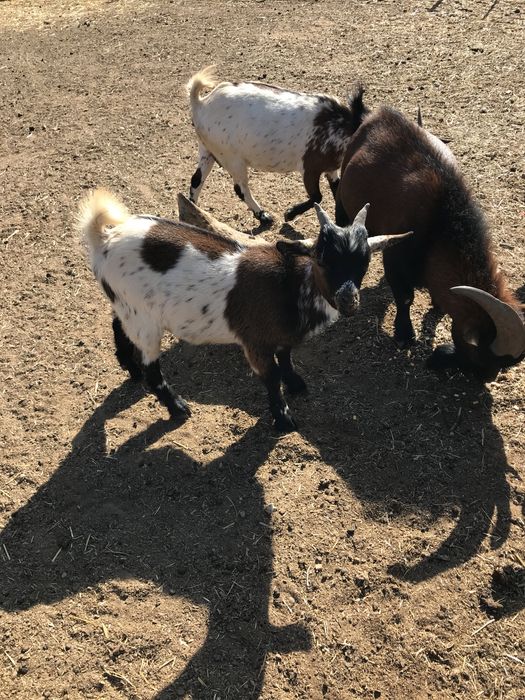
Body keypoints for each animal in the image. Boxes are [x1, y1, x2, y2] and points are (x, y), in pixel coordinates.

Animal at [78, 190, 411, 432]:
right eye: (321, 258)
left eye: (364, 262)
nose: (348, 300)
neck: (290, 285)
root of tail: (105, 238)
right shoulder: (256, 343)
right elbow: (271, 377)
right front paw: (284, 420)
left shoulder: (282, 337)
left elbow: (286, 358)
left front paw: (296, 384)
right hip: (145, 321)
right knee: (152, 368)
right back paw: (177, 407)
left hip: (128, 306)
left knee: (118, 327)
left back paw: (131, 369)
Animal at [187, 66, 368, 226]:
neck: (338, 125)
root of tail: (201, 104)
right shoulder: (310, 169)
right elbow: (317, 197)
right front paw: (289, 214)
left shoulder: (331, 169)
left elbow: (337, 190)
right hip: (231, 159)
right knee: (240, 188)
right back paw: (263, 216)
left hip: (208, 150)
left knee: (196, 180)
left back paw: (193, 210)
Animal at [335, 106, 525, 380]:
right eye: (480, 353)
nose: (484, 377)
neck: (440, 220)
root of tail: (381, 113)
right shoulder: (396, 259)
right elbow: (405, 298)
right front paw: (404, 335)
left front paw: (436, 307)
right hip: (343, 191)